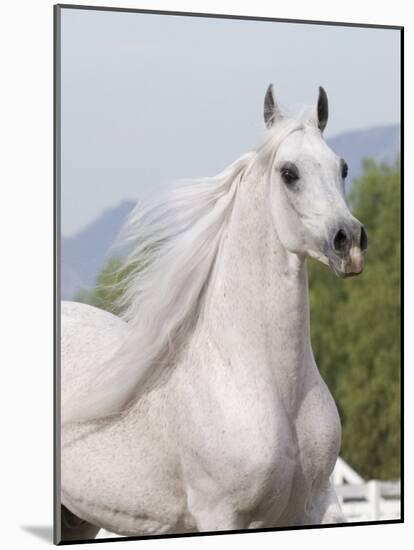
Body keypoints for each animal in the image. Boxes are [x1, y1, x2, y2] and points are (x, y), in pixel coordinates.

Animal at [59, 86, 368, 544]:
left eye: (342, 167)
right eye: (288, 172)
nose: (350, 242)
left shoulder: (316, 506)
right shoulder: (220, 514)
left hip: (78, 518)